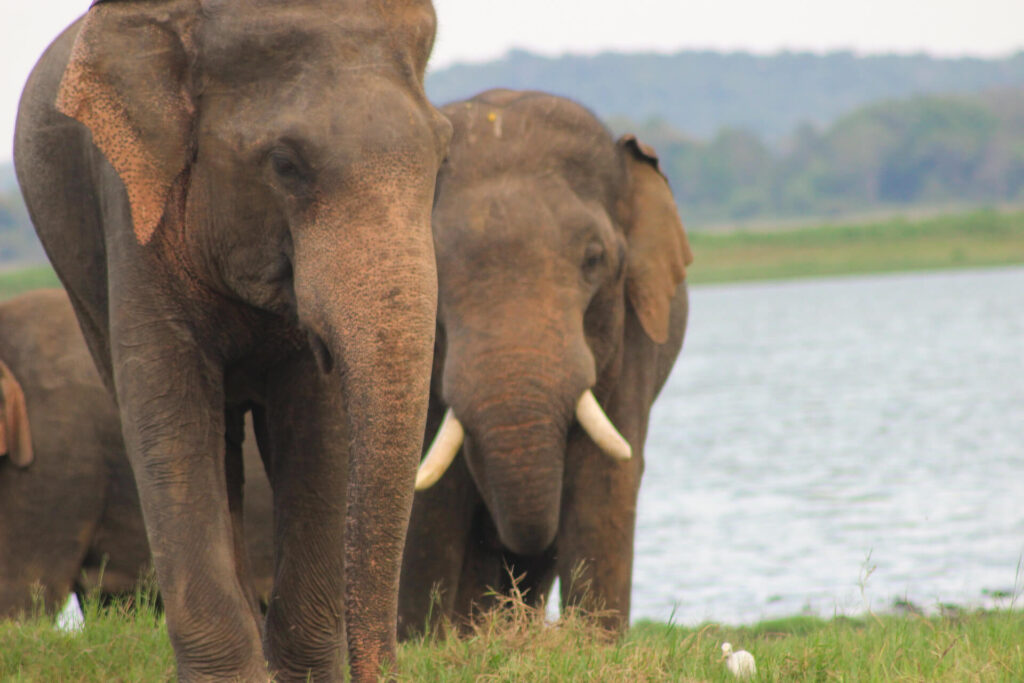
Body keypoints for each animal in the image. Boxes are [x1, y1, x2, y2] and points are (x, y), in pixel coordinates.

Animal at [398, 90, 692, 637]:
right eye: (431, 270)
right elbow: (430, 499)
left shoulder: (632, 332)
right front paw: (421, 642)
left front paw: (595, 643)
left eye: (594, 260)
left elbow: (605, 480)